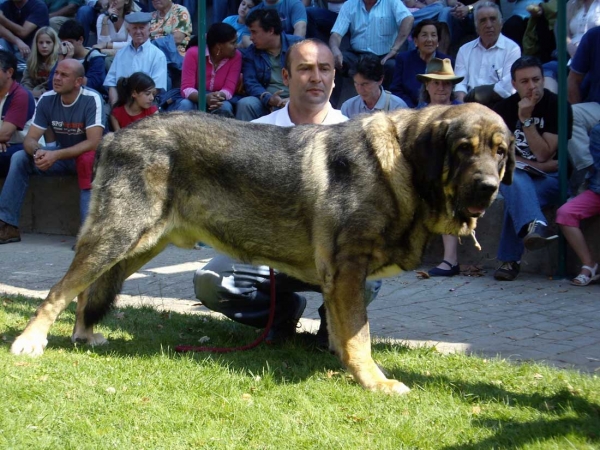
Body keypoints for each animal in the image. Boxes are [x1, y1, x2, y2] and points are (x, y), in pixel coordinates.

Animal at [10, 103, 516, 396]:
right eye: (463, 149)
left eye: (501, 151)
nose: (489, 188)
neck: (405, 164)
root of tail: (117, 134)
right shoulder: (348, 268)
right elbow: (361, 337)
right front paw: (374, 381)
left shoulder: (343, 279)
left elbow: (344, 331)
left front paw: (344, 362)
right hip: (118, 234)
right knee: (61, 289)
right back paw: (30, 341)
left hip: (138, 244)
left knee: (85, 290)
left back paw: (83, 334)